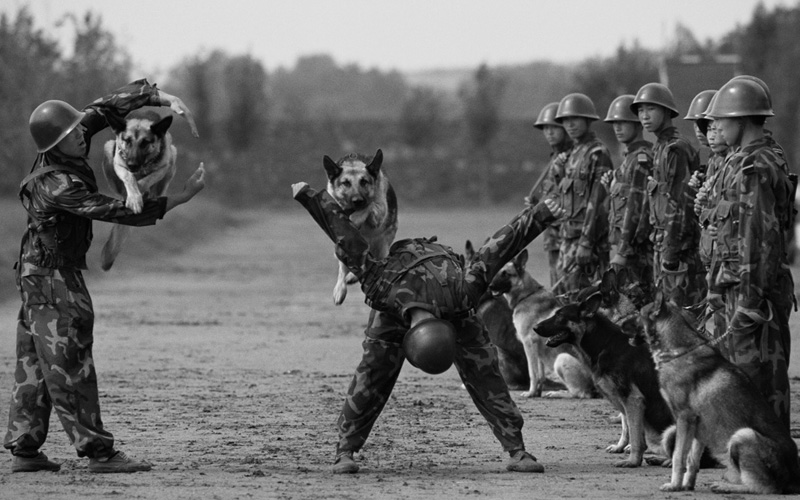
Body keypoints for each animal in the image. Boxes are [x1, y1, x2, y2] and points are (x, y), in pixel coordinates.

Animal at [99, 108, 177, 272]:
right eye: (127, 141)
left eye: (145, 143)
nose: (132, 164)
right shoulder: (120, 164)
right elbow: (129, 178)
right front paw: (134, 198)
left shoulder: (162, 167)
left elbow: (145, 180)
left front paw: (139, 194)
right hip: (108, 147)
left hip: (173, 153)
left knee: (155, 191)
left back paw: (149, 196)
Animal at [324, 148, 398, 304]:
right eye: (345, 183)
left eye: (364, 182)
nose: (357, 200)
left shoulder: (379, 212)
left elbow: (368, 205)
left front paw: (356, 218)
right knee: (344, 265)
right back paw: (341, 287)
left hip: (382, 245)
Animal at [488, 249, 592, 398]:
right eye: (496, 273)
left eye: (506, 274)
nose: (490, 287)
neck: (527, 295)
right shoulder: (537, 348)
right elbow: (540, 375)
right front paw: (537, 393)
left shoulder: (528, 343)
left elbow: (533, 373)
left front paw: (530, 393)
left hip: (561, 360)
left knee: (582, 393)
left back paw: (558, 393)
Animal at [532, 282, 676, 468]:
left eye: (560, 315)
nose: (535, 328)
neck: (604, 343)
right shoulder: (625, 401)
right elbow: (628, 428)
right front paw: (623, 449)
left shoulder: (633, 400)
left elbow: (635, 436)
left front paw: (632, 461)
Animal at [636, 292, 800, 494]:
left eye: (637, 314)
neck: (679, 352)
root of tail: (795, 477)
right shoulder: (698, 428)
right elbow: (692, 460)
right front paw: (687, 485)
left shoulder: (684, 420)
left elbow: (678, 457)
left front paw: (674, 485)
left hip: (742, 435)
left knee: (764, 487)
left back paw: (727, 486)